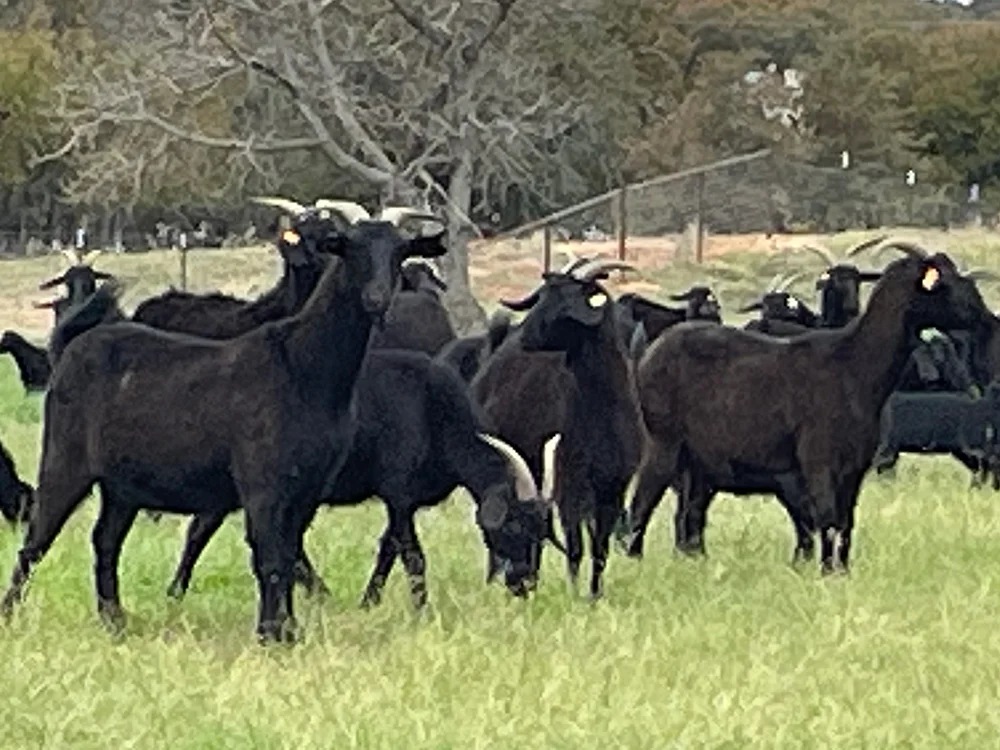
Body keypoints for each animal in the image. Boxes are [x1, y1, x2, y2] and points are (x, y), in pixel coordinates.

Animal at [0, 199, 450, 644]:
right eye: (350, 248)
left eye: (399, 252)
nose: (377, 299)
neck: (302, 365)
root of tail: (74, 345)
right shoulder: (262, 482)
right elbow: (270, 559)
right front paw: (271, 635)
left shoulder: (307, 488)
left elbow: (287, 555)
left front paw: (288, 631)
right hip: (65, 460)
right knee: (35, 541)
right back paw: (11, 616)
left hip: (123, 486)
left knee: (105, 540)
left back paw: (116, 622)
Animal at [164, 349, 563, 605]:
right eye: (514, 526)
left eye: (543, 534)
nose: (525, 585)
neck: (433, 407)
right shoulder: (398, 494)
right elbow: (411, 554)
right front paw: (421, 609)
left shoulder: (403, 503)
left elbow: (388, 548)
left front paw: (369, 601)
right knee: (206, 532)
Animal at [481, 258, 644, 598]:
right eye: (542, 296)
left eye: (566, 301)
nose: (527, 336)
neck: (600, 410)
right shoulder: (569, 482)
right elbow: (575, 548)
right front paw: (573, 593)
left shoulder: (614, 486)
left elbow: (600, 549)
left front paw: (595, 595)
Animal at [623, 242, 990, 573]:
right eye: (944, 281)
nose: (985, 317)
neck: (854, 366)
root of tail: (650, 354)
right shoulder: (818, 460)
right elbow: (825, 520)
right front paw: (826, 573)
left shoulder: (854, 467)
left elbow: (845, 524)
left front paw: (842, 573)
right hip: (663, 442)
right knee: (643, 502)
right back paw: (634, 562)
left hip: (699, 462)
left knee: (690, 514)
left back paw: (693, 563)